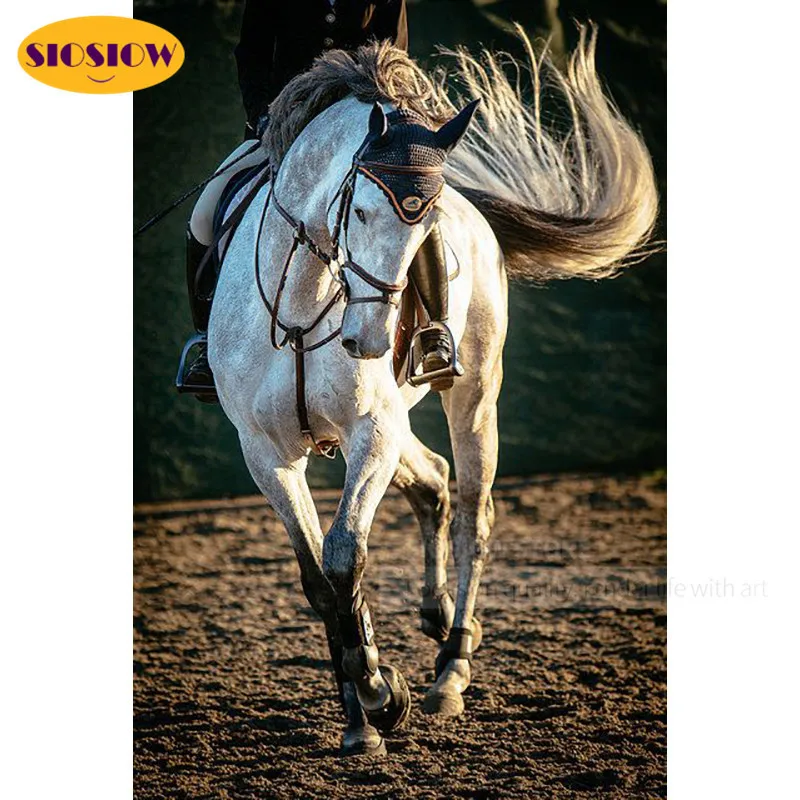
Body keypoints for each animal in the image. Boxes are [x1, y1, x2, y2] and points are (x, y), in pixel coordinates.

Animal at [207, 27, 658, 757]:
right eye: (360, 210)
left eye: (424, 229)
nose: (367, 339)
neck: (303, 304)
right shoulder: (266, 452)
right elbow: (318, 580)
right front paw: (360, 717)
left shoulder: (371, 429)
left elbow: (344, 558)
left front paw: (380, 695)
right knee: (435, 480)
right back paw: (433, 617)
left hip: (472, 393)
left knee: (474, 508)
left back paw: (451, 668)